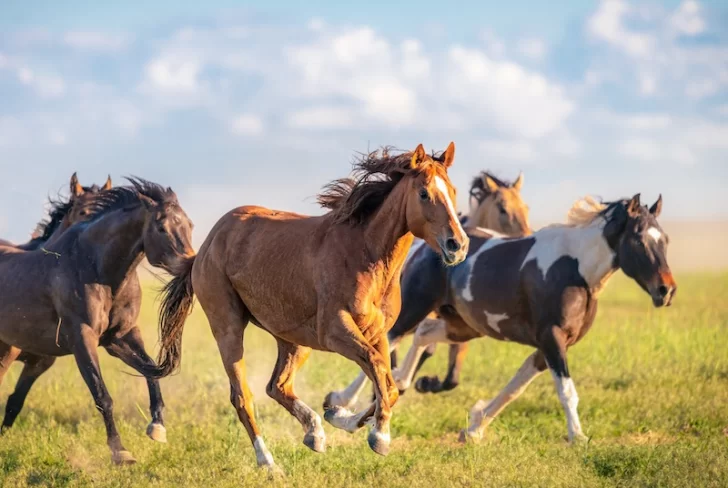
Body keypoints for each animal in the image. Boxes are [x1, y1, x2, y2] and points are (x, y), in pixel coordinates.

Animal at [0, 179, 193, 466]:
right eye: (161, 226)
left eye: (190, 225)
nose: (191, 264)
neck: (96, 268)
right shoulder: (82, 337)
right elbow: (102, 394)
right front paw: (120, 451)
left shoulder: (120, 337)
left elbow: (151, 370)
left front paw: (157, 428)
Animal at [155, 143, 472, 470]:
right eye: (423, 193)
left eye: (452, 190)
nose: (458, 245)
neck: (365, 255)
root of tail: (207, 245)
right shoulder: (335, 332)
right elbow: (379, 372)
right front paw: (379, 437)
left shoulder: (378, 334)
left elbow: (387, 383)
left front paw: (341, 416)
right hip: (228, 328)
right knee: (243, 396)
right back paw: (269, 463)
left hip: (294, 339)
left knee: (277, 386)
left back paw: (315, 433)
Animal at [328, 170, 532, 410]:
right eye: (502, 209)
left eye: (525, 207)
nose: (527, 236)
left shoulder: (457, 323)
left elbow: (450, 374)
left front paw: (425, 383)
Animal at [386, 193, 676, 442]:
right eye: (638, 240)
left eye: (665, 239)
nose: (667, 290)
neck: (576, 271)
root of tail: (423, 246)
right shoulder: (552, 338)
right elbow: (566, 391)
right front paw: (578, 437)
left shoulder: (548, 346)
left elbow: (514, 389)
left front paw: (474, 428)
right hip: (414, 309)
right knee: (389, 340)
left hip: (463, 325)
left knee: (422, 335)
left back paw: (403, 382)